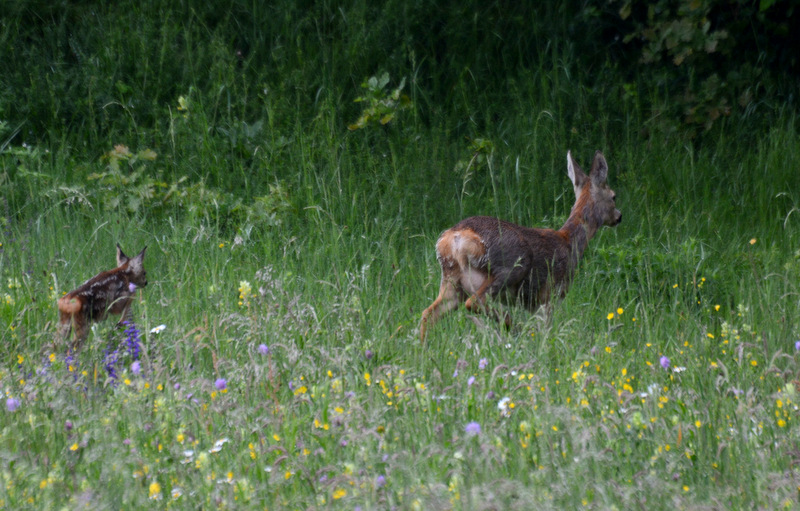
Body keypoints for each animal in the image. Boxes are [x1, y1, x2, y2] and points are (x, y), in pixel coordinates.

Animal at [422, 153, 620, 344]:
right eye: (614, 196)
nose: (619, 216)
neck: (570, 243)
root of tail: (456, 238)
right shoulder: (550, 295)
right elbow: (546, 330)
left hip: (451, 281)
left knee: (428, 314)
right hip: (511, 267)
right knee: (474, 302)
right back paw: (512, 325)